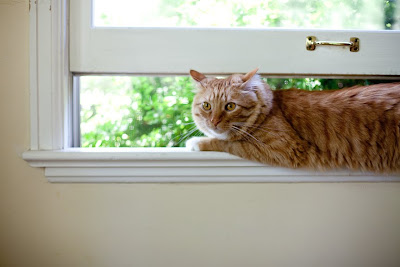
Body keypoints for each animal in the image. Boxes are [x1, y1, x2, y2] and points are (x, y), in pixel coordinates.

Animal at [188, 69, 400, 173]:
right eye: (207, 106)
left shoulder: (283, 148)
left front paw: (197, 142)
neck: (269, 109)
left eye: (230, 106)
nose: (214, 122)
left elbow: (228, 142)